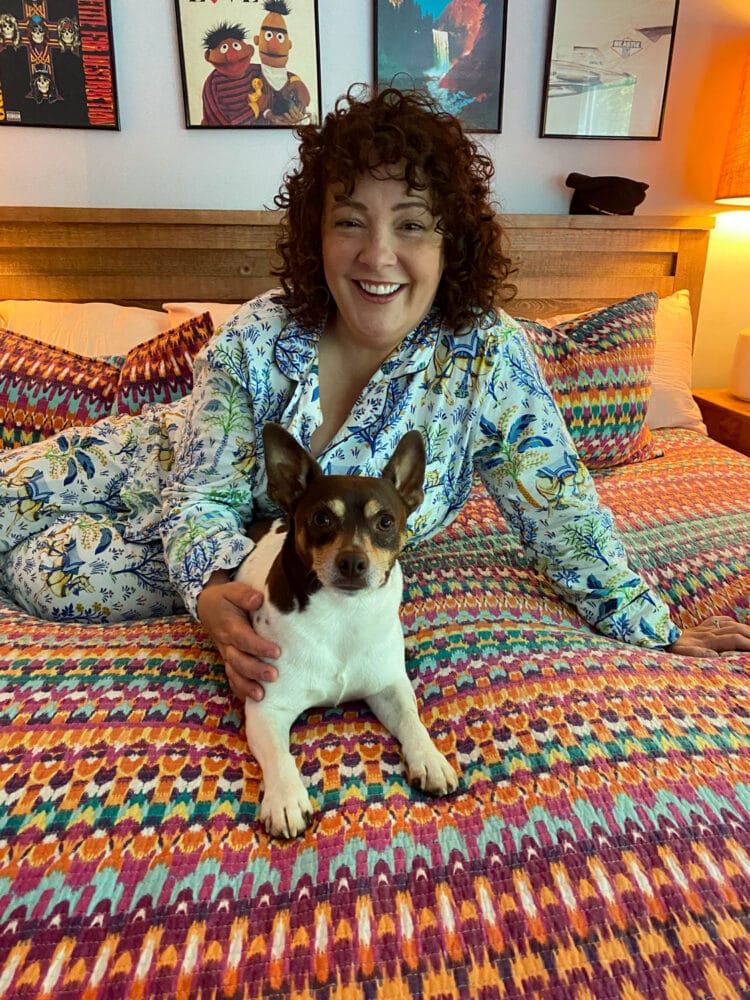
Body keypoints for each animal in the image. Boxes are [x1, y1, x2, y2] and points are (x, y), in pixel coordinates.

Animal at [236, 422, 458, 836]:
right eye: (322, 518)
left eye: (385, 522)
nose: (353, 561)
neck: (342, 614)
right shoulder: (267, 707)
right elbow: (279, 754)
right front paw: (286, 799)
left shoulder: (389, 688)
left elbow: (412, 720)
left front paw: (430, 757)